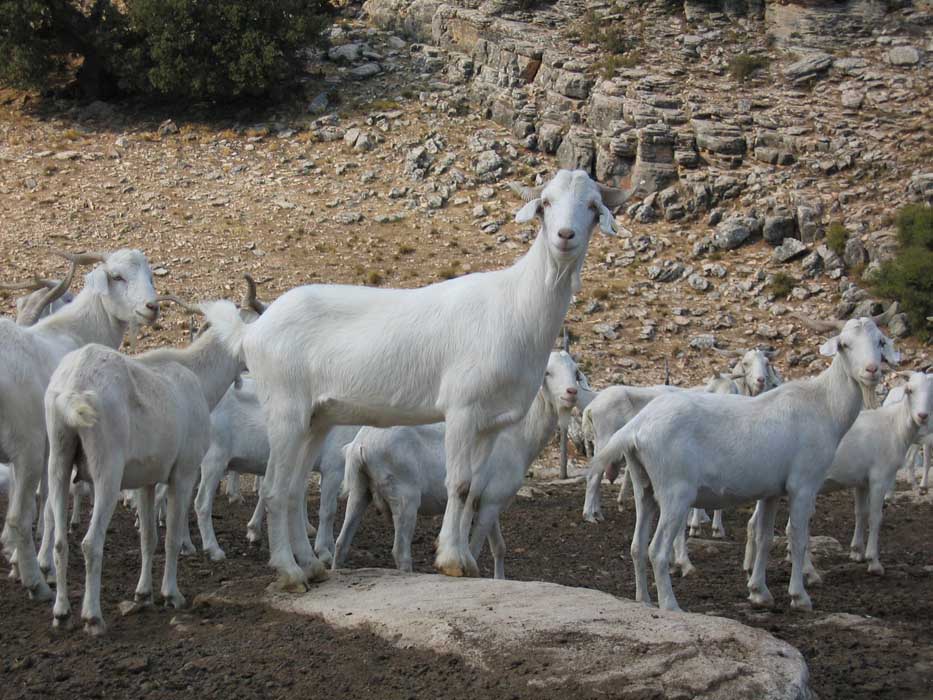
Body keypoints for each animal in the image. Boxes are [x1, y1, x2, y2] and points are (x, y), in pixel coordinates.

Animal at [0, 249, 157, 600]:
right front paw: (41, 564)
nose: (152, 307)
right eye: (116, 276)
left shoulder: (48, 451)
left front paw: (16, 559)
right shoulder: (44, 448)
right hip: (27, 447)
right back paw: (37, 585)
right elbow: (45, 507)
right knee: (18, 517)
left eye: (150, 274)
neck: (76, 330)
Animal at [44, 296, 246, 636]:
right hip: (107, 473)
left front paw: (144, 594)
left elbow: (148, 538)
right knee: (90, 543)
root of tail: (74, 385)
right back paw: (93, 617)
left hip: (58, 462)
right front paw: (172, 595)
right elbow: (172, 536)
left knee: (61, 541)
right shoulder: (183, 473)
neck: (195, 377)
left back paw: (61, 613)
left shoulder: (146, 481)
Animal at [332, 350, 580, 576]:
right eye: (548, 372)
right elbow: (474, 550)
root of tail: (359, 446)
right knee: (400, 552)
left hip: (360, 489)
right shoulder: (492, 500)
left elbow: (499, 547)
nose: (572, 392)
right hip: (404, 494)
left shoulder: (489, 500)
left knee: (341, 543)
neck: (519, 436)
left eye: (575, 372)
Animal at [588, 318, 896, 612]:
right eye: (845, 344)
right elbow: (797, 537)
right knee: (657, 550)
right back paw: (671, 605)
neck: (824, 405)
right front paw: (800, 596)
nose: (871, 370)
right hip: (675, 491)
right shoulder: (803, 484)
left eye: (880, 342)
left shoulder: (772, 491)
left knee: (637, 546)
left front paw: (759, 592)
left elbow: (765, 537)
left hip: (645, 487)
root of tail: (636, 427)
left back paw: (644, 601)